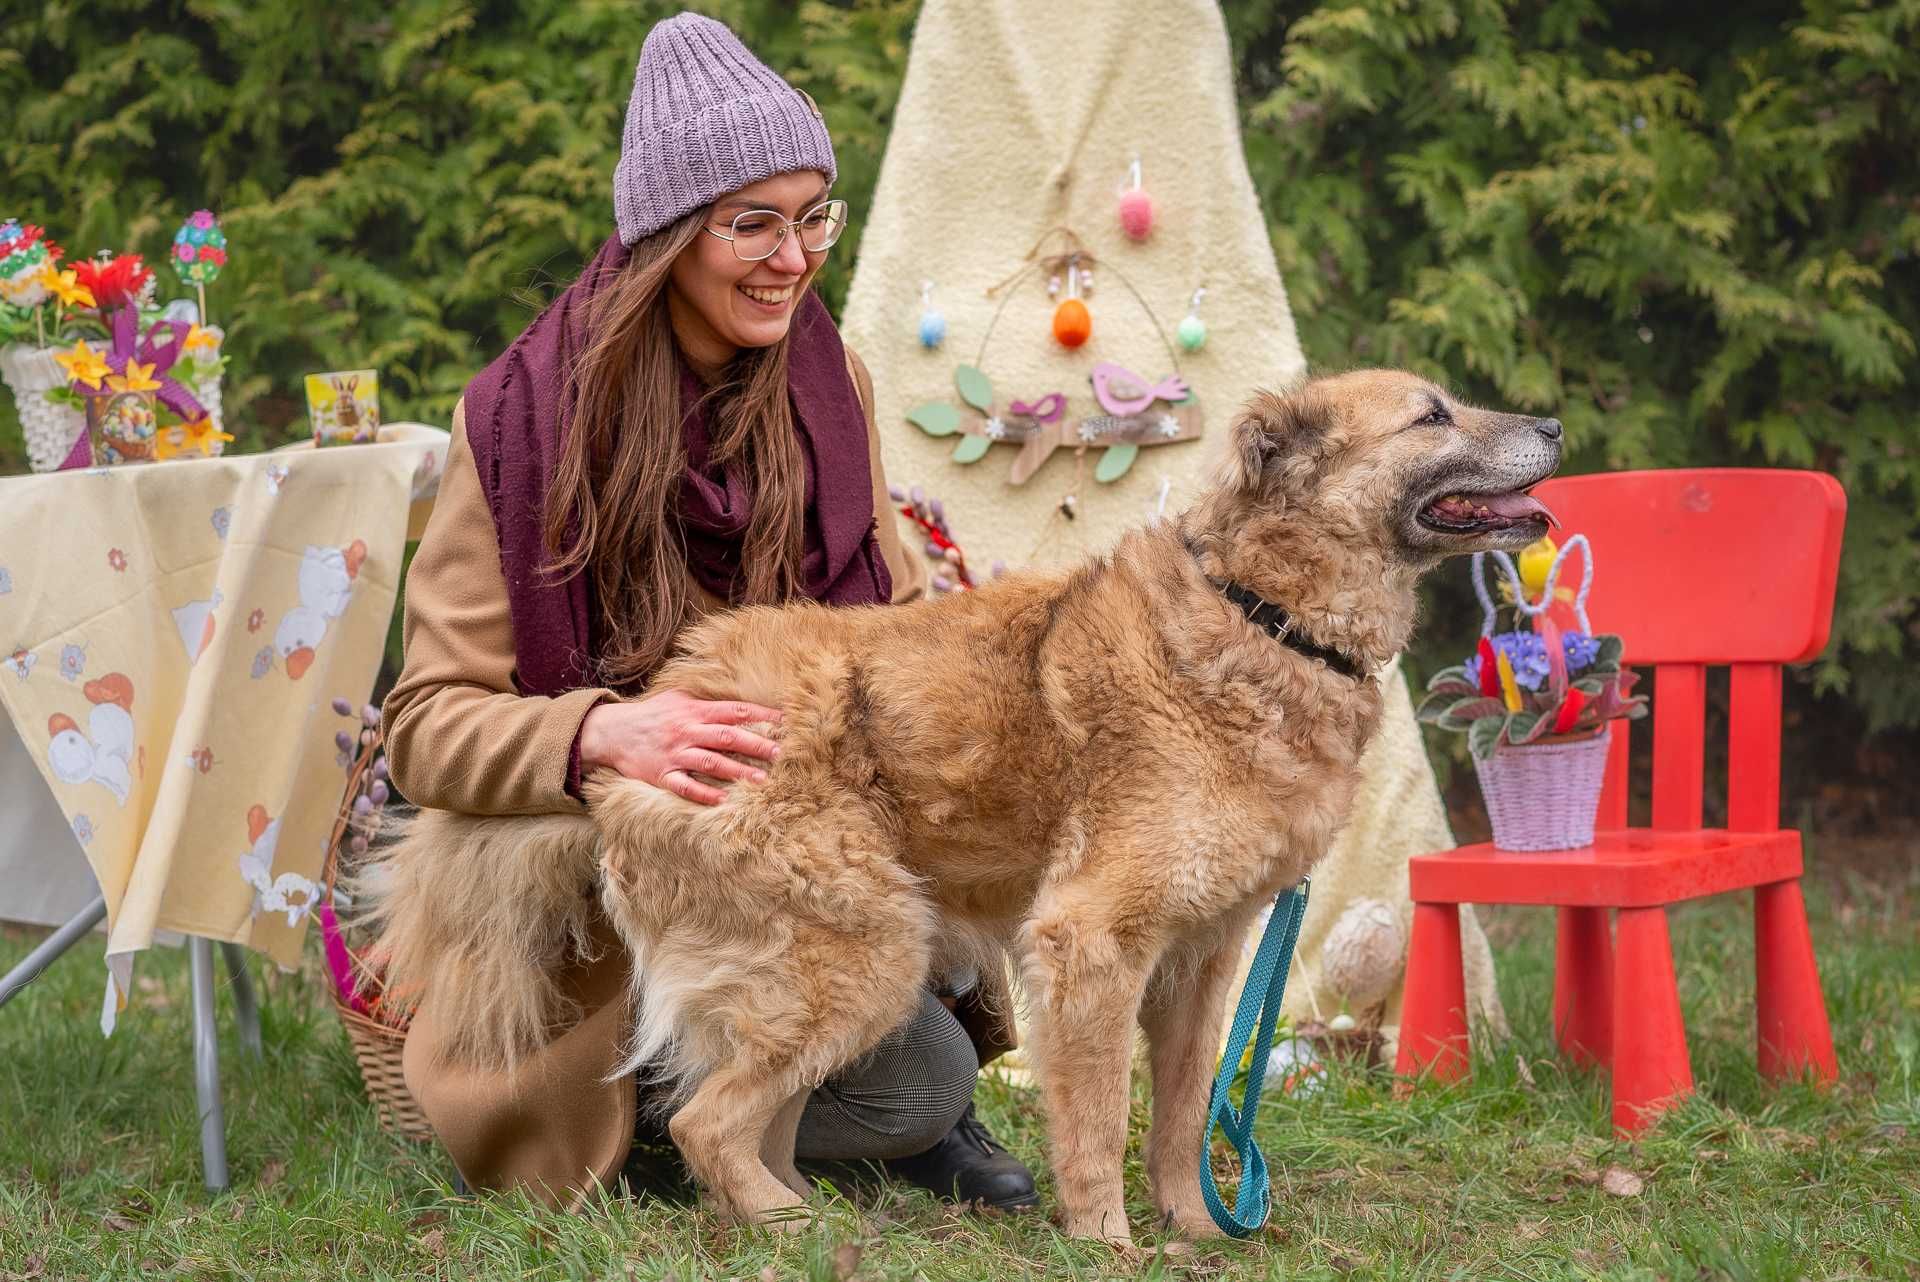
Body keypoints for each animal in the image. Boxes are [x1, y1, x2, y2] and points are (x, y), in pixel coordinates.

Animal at [366, 368, 1566, 1243]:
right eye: (1432, 413)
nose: (1555, 421)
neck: (1261, 613)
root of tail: (651, 715)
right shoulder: (1090, 942)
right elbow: (1099, 1117)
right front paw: (1105, 1240)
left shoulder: (1201, 958)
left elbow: (1181, 1115)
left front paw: (1196, 1228)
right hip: (863, 953)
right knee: (708, 1119)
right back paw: (787, 1228)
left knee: (749, 1118)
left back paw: (789, 1215)